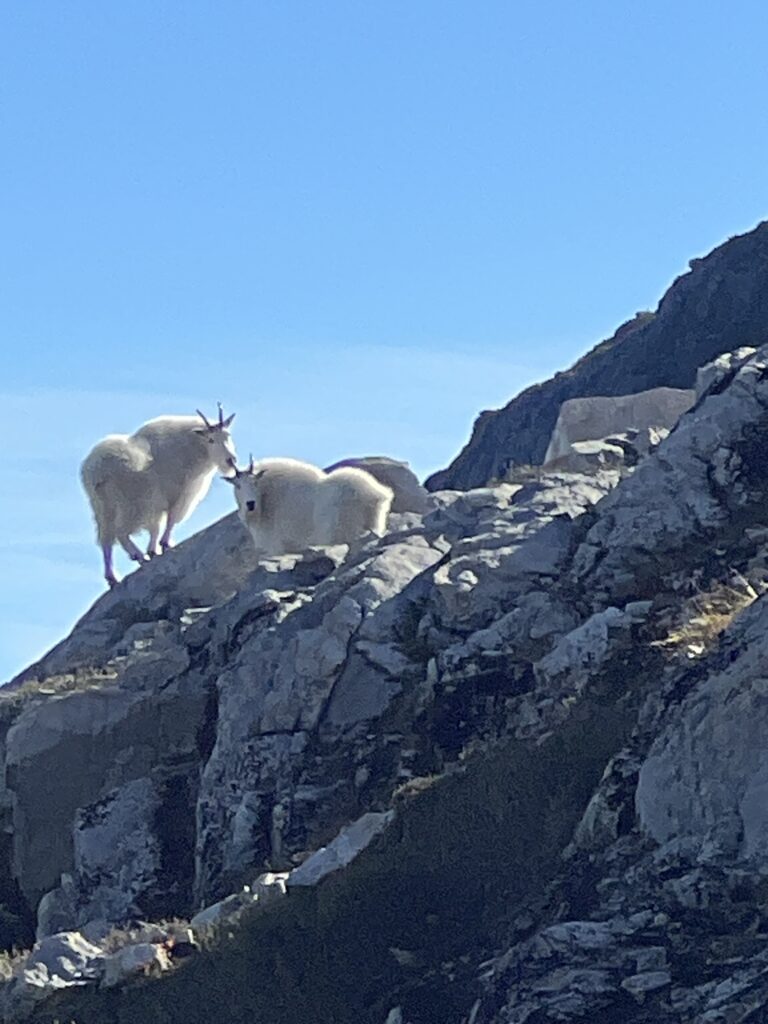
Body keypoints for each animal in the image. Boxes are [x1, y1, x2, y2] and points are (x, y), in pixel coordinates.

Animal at [81, 405, 237, 587]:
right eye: (211, 440)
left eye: (228, 436)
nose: (230, 461)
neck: (192, 447)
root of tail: (96, 470)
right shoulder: (179, 494)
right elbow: (170, 520)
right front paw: (163, 545)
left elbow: (159, 524)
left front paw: (155, 549)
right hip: (130, 503)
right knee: (121, 532)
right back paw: (139, 556)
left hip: (102, 507)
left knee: (106, 539)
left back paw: (113, 577)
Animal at [226, 456, 393, 557]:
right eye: (238, 486)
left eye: (255, 482)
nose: (250, 504)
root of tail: (376, 494)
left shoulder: (276, 546)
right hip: (375, 523)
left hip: (343, 530)